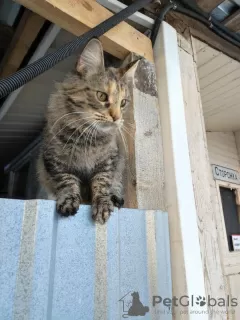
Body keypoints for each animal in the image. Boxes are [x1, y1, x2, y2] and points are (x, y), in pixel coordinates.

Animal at [37, 38, 139, 222]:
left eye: (123, 103)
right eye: (102, 96)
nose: (116, 117)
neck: (88, 135)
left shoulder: (109, 160)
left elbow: (102, 183)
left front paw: (102, 204)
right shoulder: (54, 159)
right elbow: (66, 181)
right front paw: (68, 200)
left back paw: (115, 197)